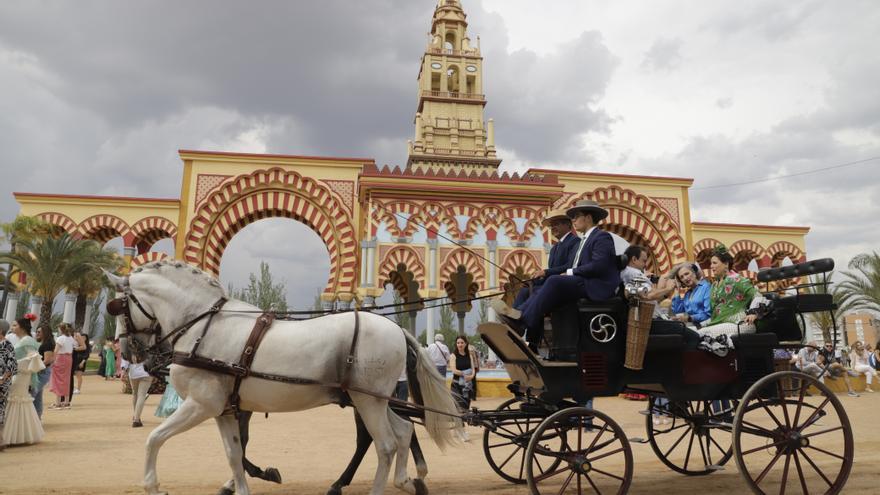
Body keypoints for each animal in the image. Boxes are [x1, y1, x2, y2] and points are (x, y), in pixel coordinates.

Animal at [106, 262, 458, 494]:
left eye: (117, 307)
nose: (128, 349)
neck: (203, 326)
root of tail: (396, 328)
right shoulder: (224, 410)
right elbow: (234, 455)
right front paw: (240, 486)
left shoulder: (201, 404)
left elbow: (155, 439)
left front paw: (152, 485)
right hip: (375, 400)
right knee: (403, 431)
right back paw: (406, 480)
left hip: (368, 401)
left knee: (384, 444)